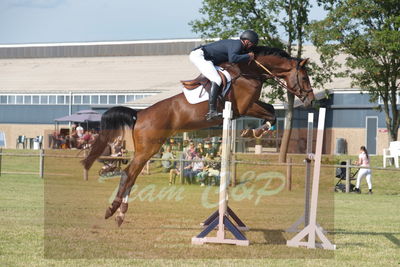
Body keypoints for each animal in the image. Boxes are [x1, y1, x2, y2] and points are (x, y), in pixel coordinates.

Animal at [82, 46, 316, 226]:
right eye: (305, 77)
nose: (311, 101)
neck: (250, 71)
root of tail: (139, 114)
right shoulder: (244, 107)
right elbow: (270, 112)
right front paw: (254, 131)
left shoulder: (247, 106)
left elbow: (271, 111)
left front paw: (254, 131)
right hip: (148, 149)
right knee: (128, 174)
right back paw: (113, 210)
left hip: (149, 149)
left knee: (132, 175)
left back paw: (120, 214)